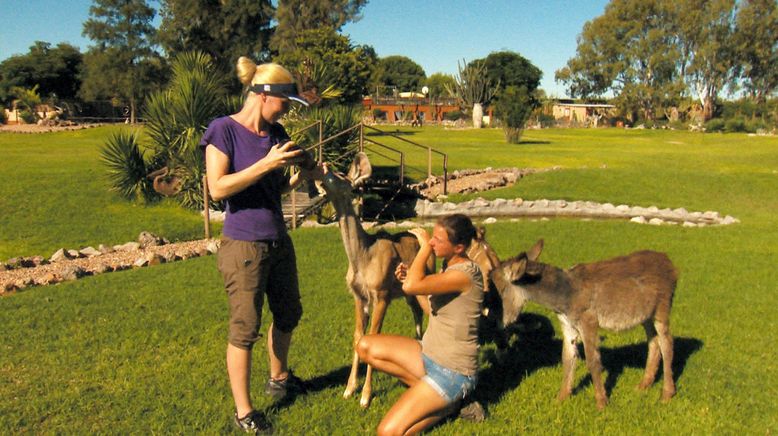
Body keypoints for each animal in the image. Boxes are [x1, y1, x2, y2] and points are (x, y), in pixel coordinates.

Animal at [488, 240, 676, 410]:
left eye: (499, 291)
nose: (497, 325)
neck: (563, 297)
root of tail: (671, 264)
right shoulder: (567, 326)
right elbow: (568, 358)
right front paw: (560, 399)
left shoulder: (589, 322)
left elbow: (593, 361)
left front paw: (601, 403)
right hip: (646, 317)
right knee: (654, 342)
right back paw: (644, 385)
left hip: (662, 309)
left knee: (667, 343)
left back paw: (667, 394)